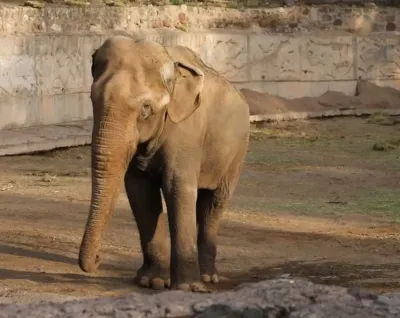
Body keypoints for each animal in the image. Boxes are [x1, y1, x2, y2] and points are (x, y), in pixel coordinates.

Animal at [78, 35, 250, 294]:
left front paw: (188, 288)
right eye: (92, 99)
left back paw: (208, 277)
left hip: (237, 151)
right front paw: (153, 282)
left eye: (146, 109)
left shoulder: (186, 131)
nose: (98, 260)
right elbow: (140, 190)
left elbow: (176, 187)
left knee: (215, 202)